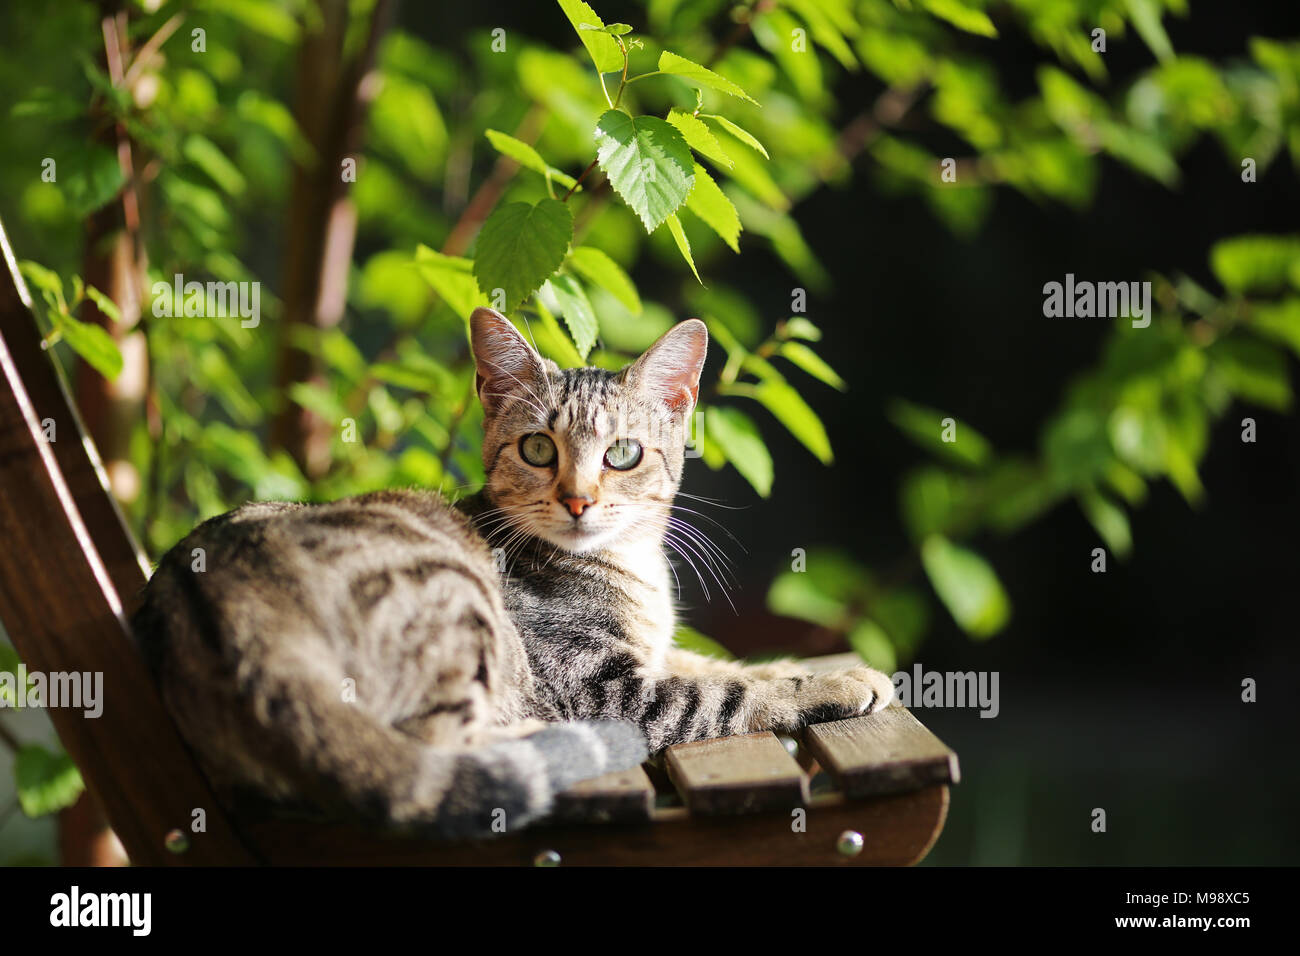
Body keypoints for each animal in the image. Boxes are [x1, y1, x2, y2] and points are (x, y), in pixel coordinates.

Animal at [134, 306, 894, 837]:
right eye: (536, 448)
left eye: (622, 453)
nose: (578, 498)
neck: (627, 567)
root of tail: (216, 607)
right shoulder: (606, 688)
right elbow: (728, 693)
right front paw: (838, 683)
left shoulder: (654, 654)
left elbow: (726, 665)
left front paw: (825, 668)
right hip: (452, 602)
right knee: (439, 755)